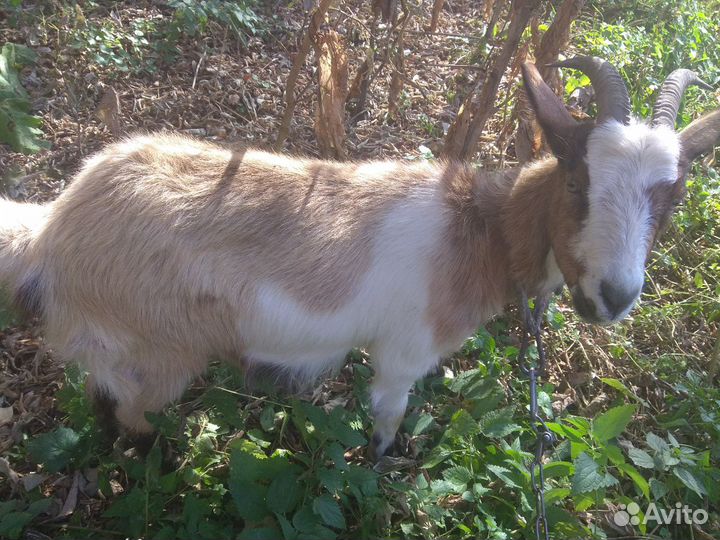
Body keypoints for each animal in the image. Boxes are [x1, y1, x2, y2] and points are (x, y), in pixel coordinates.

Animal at [1, 57, 718, 458]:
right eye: (577, 180)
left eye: (676, 197)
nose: (614, 297)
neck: (478, 229)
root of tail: (52, 227)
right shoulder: (404, 353)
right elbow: (387, 417)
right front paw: (386, 462)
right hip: (156, 347)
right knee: (129, 407)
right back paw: (163, 459)